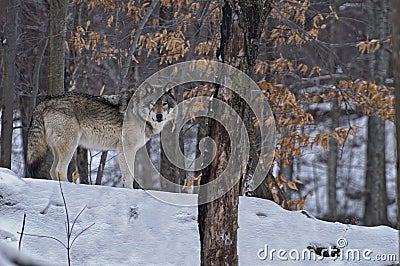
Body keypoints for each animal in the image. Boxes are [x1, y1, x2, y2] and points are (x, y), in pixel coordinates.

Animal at [25, 84, 175, 188]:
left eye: (165, 103)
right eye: (153, 103)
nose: (159, 116)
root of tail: (45, 101)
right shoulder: (126, 149)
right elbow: (128, 177)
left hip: (60, 149)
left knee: (52, 171)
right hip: (71, 146)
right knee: (59, 170)